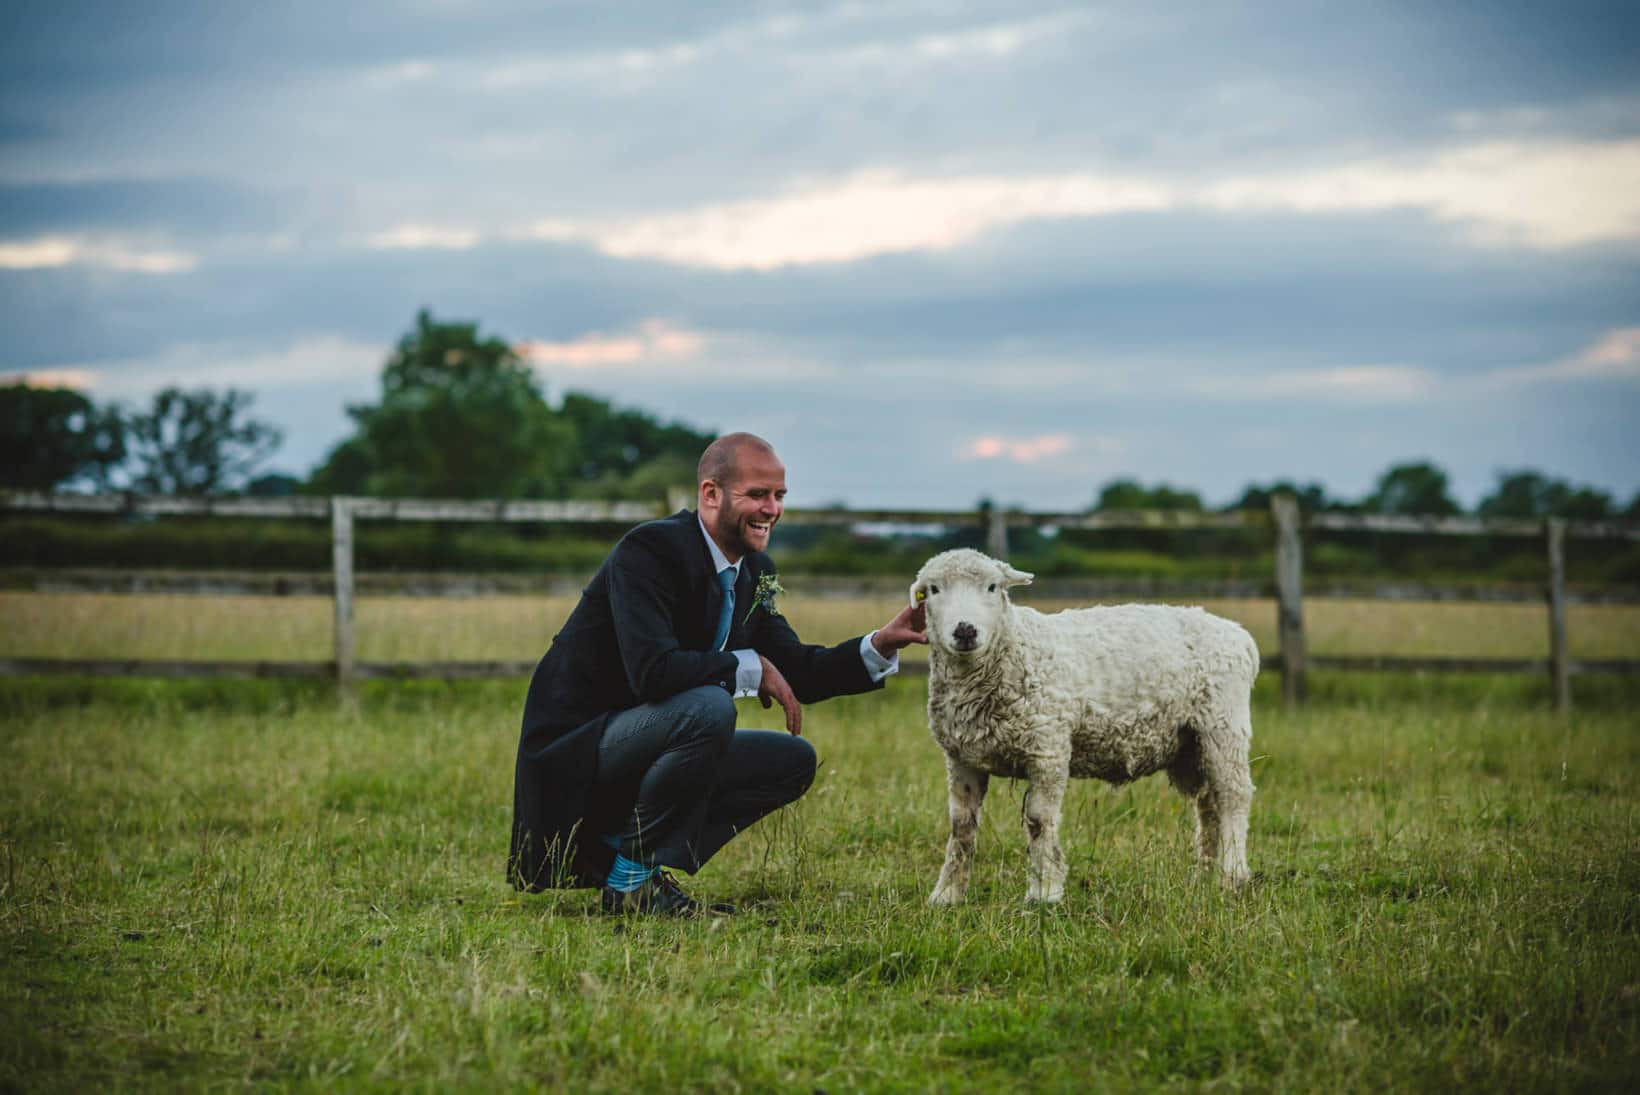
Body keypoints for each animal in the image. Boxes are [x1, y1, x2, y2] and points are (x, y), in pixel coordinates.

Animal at [911, 547, 1252, 904]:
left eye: (992, 587)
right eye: (933, 590)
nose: (965, 631)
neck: (1014, 647)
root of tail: (1237, 634)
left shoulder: (1048, 747)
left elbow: (1039, 820)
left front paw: (1044, 891)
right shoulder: (961, 757)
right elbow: (961, 825)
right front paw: (947, 894)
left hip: (1223, 725)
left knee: (1233, 796)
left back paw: (1232, 875)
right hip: (1189, 746)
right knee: (1209, 805)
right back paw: (1205, 875)